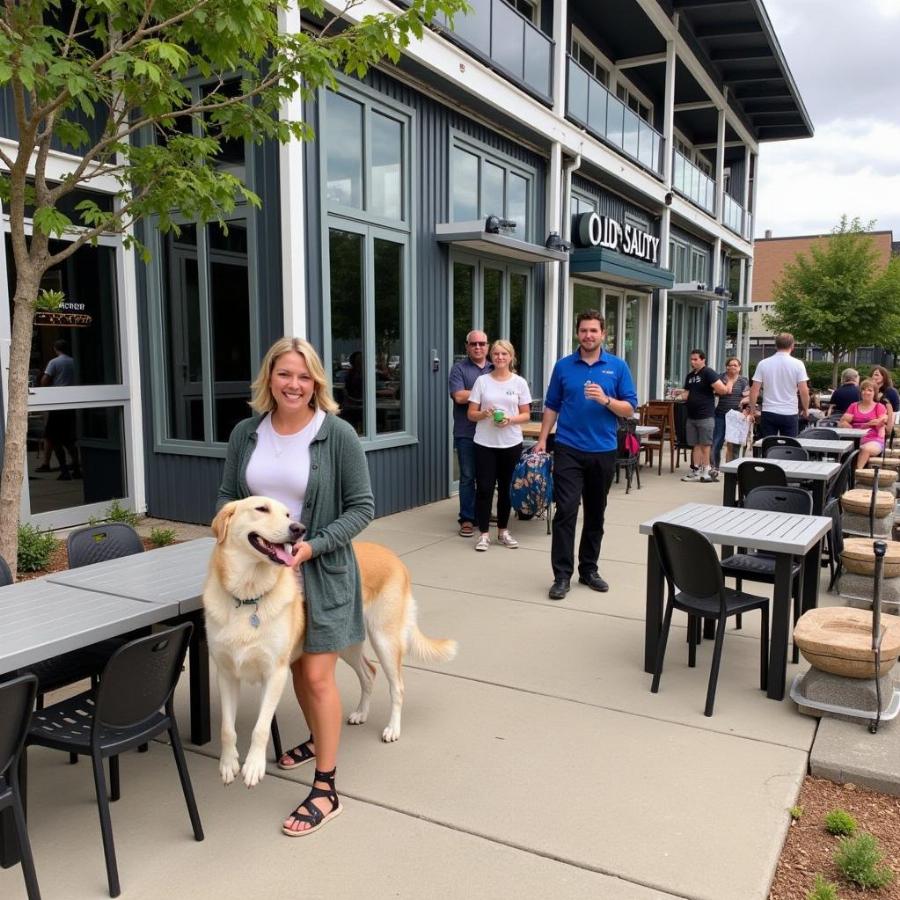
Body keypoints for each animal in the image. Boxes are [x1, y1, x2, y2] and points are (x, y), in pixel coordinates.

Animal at [206, 496, 458, 784]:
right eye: (261, 509)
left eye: (287, 514)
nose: (298, 529)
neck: (248, 596)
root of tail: (394, 557)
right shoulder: (226, 673)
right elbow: (227, 728)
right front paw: (228, 763)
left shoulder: (275, 674)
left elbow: (261, 727)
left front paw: (254, 766)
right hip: (346, 643)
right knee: (369, 673)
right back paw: (361, 713)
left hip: (384, 639)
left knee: (397, 687)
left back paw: (393, 728)